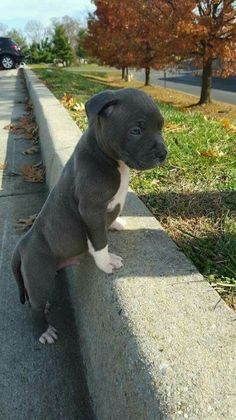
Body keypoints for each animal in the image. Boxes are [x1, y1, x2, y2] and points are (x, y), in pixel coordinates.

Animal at [10, 87, 166, 342]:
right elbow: (99, 239)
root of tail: (22, 245)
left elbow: (108, 221)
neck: (107, 156)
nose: (163, 153)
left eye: (161, 126)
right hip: (40, 274)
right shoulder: (91, 208)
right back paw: (43, 331)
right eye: (135, 130)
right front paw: (106, 261)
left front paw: (116, 223)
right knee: (35, 305)